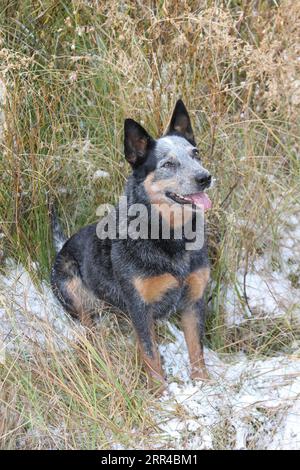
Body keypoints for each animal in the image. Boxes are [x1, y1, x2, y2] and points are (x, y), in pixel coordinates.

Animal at [50, 101, 212, 392]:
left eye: (196, 154)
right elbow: (150, 354)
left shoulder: (194, 301)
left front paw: (204, 385)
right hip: (73, 292)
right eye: (168, 163)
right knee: (89, 327)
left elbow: (197, 350)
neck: (171, 238)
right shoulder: (139, 307)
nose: (205, 177)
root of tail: (60, 247)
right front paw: (160, 393)